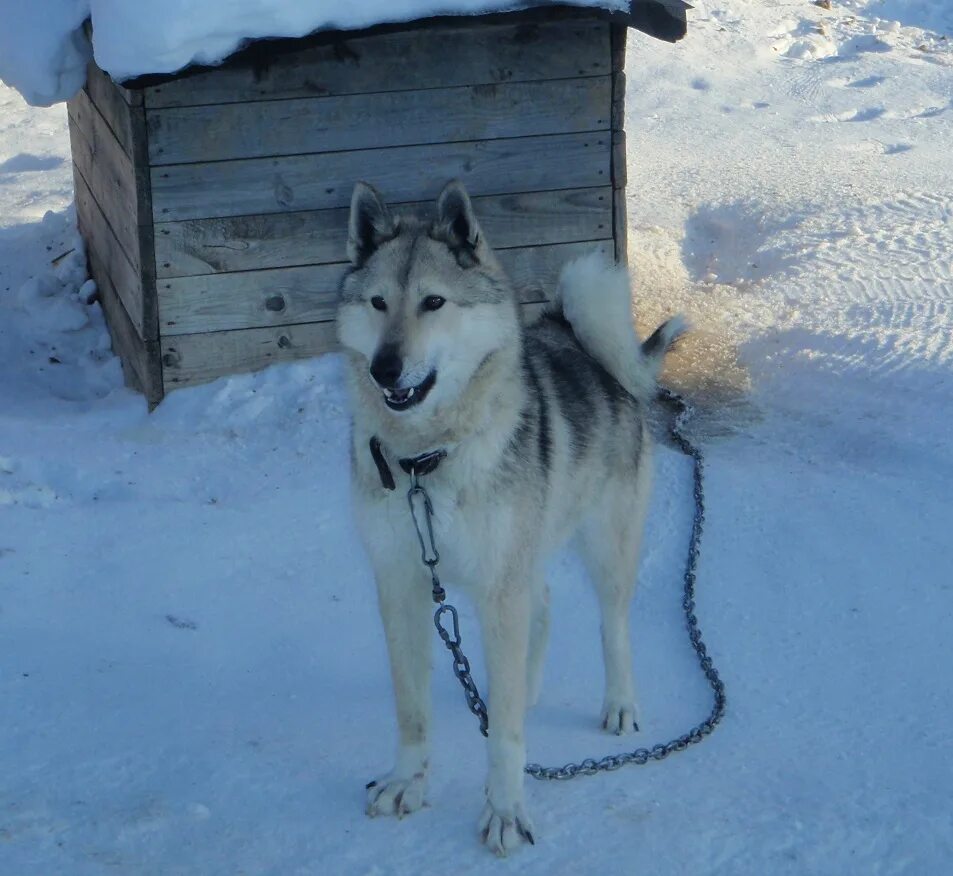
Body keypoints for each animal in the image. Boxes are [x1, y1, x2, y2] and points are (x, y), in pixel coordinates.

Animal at [334, 180, 684, 856]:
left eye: (434, 303)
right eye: (379, 302)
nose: (384, 368)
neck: (426, 462)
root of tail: (587, 341)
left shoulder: (498, 587)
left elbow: (506, 745)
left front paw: (504, 810)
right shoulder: (401, 584)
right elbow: (410, 709)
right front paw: (406, 782)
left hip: (603, 545)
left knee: (613, 626)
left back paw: (617, 703)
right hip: (524, 555)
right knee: (542, 607)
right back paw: (519, 689)